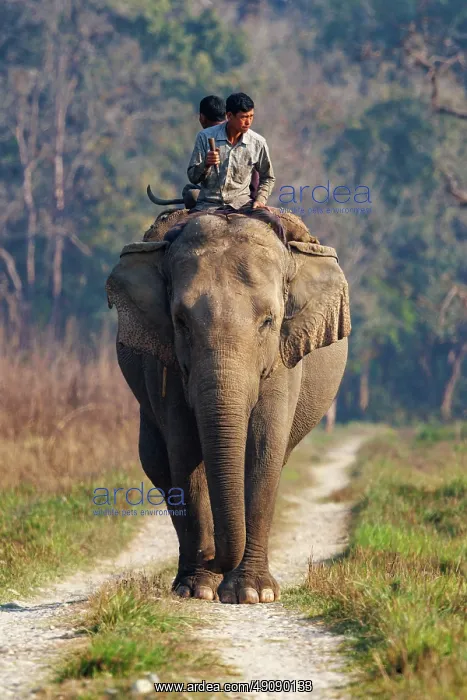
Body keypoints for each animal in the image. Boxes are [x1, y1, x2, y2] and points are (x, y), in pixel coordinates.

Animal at [106, 213, 351, 604]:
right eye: (180, 322)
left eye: (268, 321)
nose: (210, 554)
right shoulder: (166, 366)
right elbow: (186, 452)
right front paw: (197, 589)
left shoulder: (283, 361)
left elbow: (264, 450)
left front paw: (253, 593)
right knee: (159, 465)